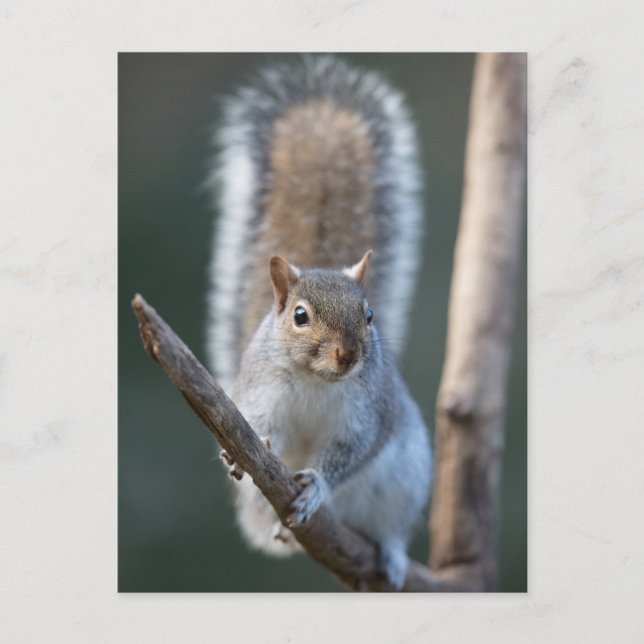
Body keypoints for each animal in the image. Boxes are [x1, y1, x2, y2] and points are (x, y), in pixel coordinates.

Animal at [206, 56, 431, 589]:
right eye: (300, 316)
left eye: (369, 315)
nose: (347, 355)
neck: (316, 382)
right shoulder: (262, 395)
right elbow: (262, 432)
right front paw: (245, 452)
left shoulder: (367, 416)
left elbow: (351, 453)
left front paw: (318, 487)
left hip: (406, 483)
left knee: (391, 530)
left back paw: (392, 558)